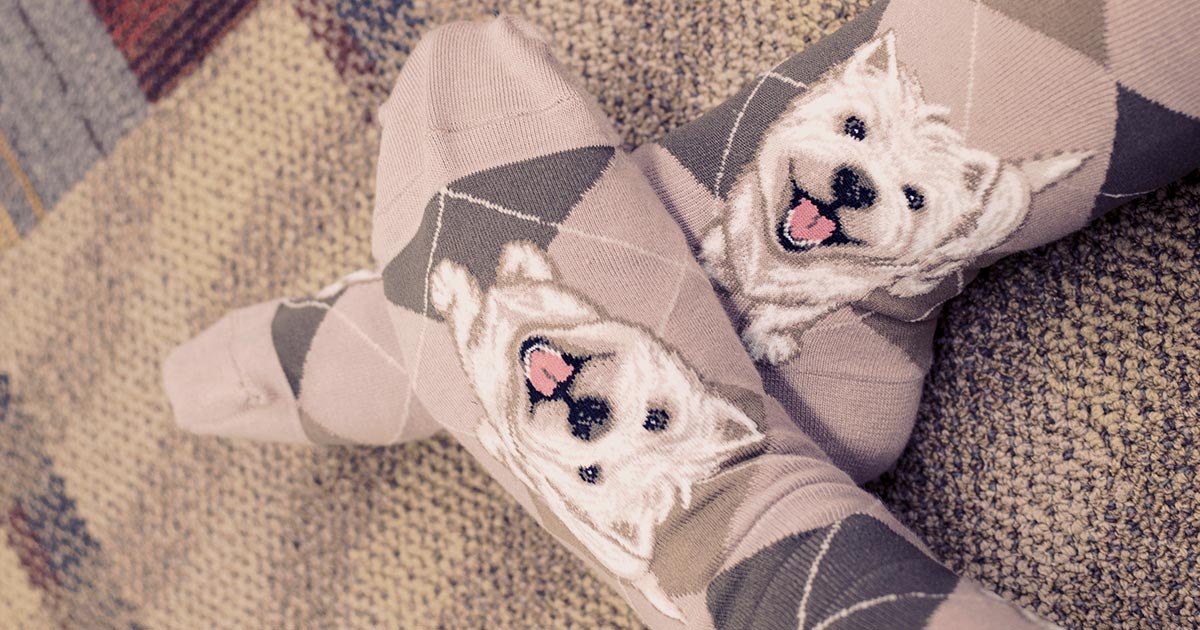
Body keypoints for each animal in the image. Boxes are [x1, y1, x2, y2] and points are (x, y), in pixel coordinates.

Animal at [432, 242, 763, 619]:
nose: (587, 419)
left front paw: (449, 284)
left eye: (589, 473)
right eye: (657, 419)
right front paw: (517, 262)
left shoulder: (483, 370)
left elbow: (466, 326)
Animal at [700, 30, 1094, 362]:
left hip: (969, 246)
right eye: (854, 127)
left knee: (937, 267)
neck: (783, 257)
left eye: (914, 198)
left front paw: (763, 341)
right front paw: (712, 262)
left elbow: (780, 315)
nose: (855, 185)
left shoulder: (826, 297)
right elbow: (727, 243)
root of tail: (1017, 175)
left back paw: (908, 286)